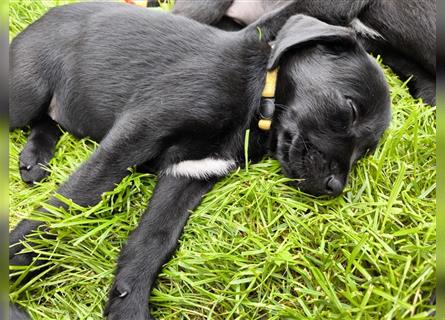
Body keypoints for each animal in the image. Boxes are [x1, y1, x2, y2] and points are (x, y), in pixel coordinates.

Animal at [7, 1, 388, 318]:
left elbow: (154, 240)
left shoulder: (191, 172)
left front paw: (128, 305)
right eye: (350, 109)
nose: (335, 188)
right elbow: (72, 199)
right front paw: (12, 265)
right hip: (24, 94)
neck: (255, 95)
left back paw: (36, 157)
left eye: (367, 149)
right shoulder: (138, 132)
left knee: (49, 119)